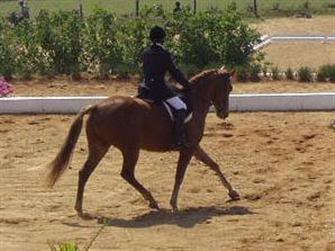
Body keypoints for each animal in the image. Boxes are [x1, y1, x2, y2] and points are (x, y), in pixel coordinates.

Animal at [47, 68, 240, 218]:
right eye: (229, 88)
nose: (224, 113)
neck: (194, 101)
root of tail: (95, 107)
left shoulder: (194, 146)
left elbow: (213, 164)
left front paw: (233, 192)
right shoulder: (188, 148)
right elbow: (180, 175)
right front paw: (174, 203)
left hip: (100, 147)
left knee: (85, 172)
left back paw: (79, 208)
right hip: (130, 149)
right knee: (126, 173)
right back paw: (151, 200)